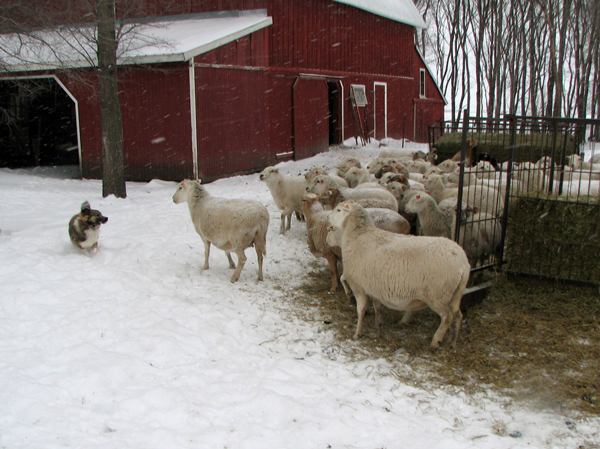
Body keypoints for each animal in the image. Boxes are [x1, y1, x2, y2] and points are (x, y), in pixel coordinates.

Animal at [326, 200, 472, 350]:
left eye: (338, 210)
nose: (328, 217)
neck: (357, 235)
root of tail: (463, 263)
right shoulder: (374, 287)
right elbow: (377, 306)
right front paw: (378, 324)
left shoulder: (358, 285)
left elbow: (360, 310)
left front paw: (357, 333)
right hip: (454, 295)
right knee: (457, 315)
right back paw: (451, 343)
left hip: (437, 295)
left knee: (447, 317)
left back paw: (435, 342)